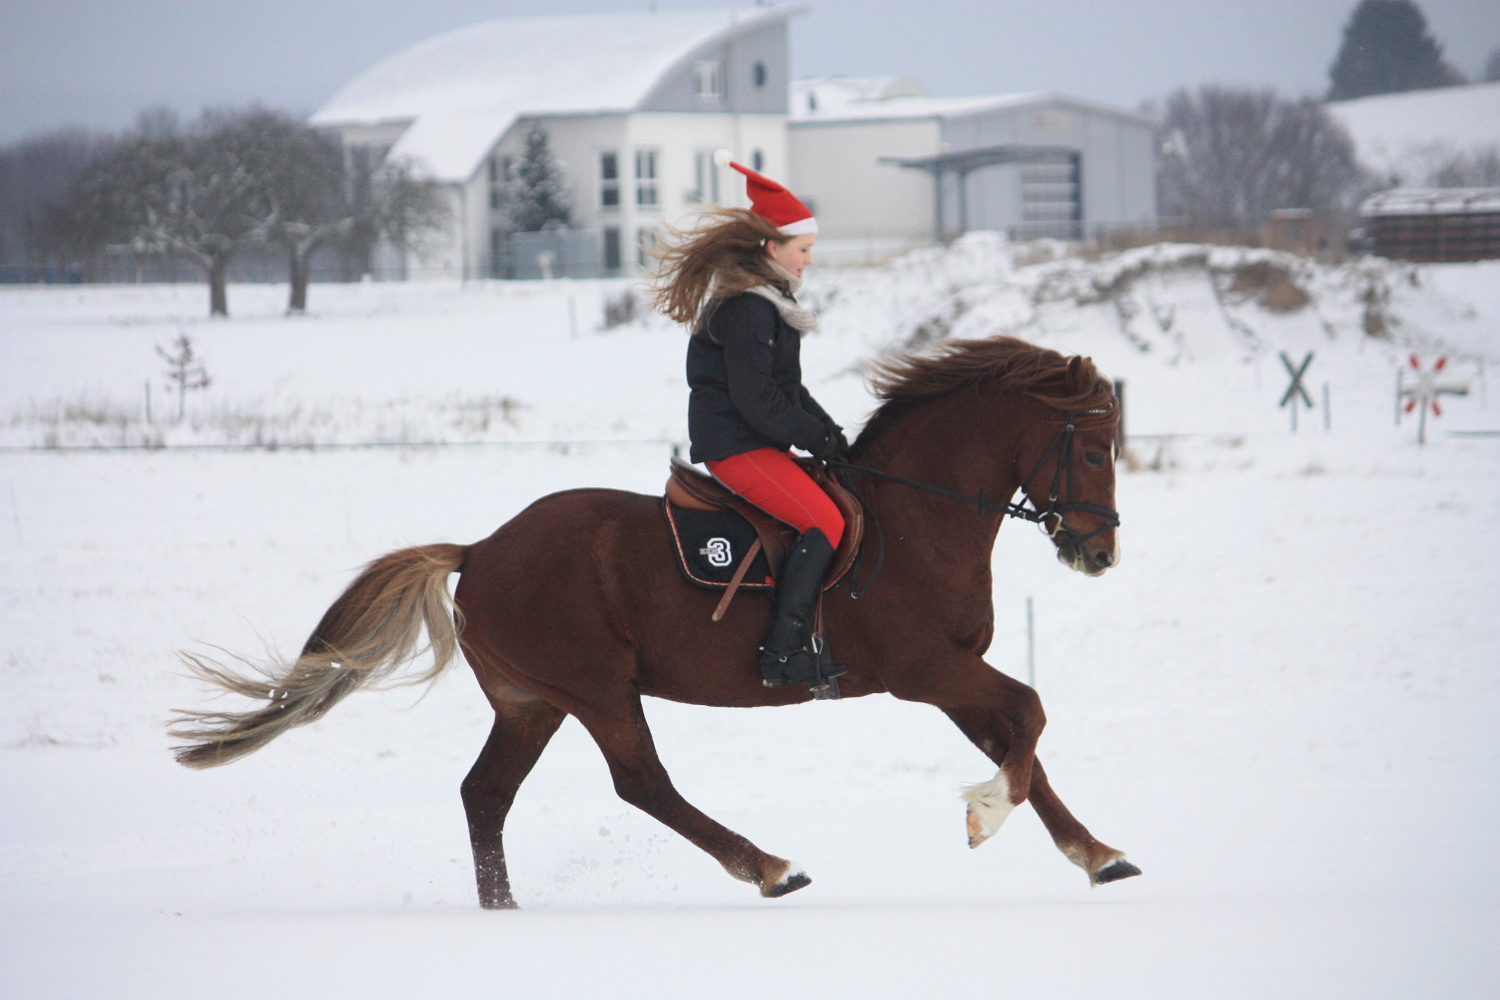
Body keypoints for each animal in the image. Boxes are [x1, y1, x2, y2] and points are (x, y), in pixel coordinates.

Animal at [170, 335, 1140, 908]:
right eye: (1095, 450)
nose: (1100, 554)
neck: (916, 516)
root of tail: (480, 550)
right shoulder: (925, 672)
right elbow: (1030, 718)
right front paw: (986, 815)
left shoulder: (952, 678)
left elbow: (1022, 744)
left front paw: (1096, 855)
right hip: (597, 689)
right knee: (642, 783)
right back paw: (769, 867)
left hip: (533, 702)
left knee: (486, 794)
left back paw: (503, 911)